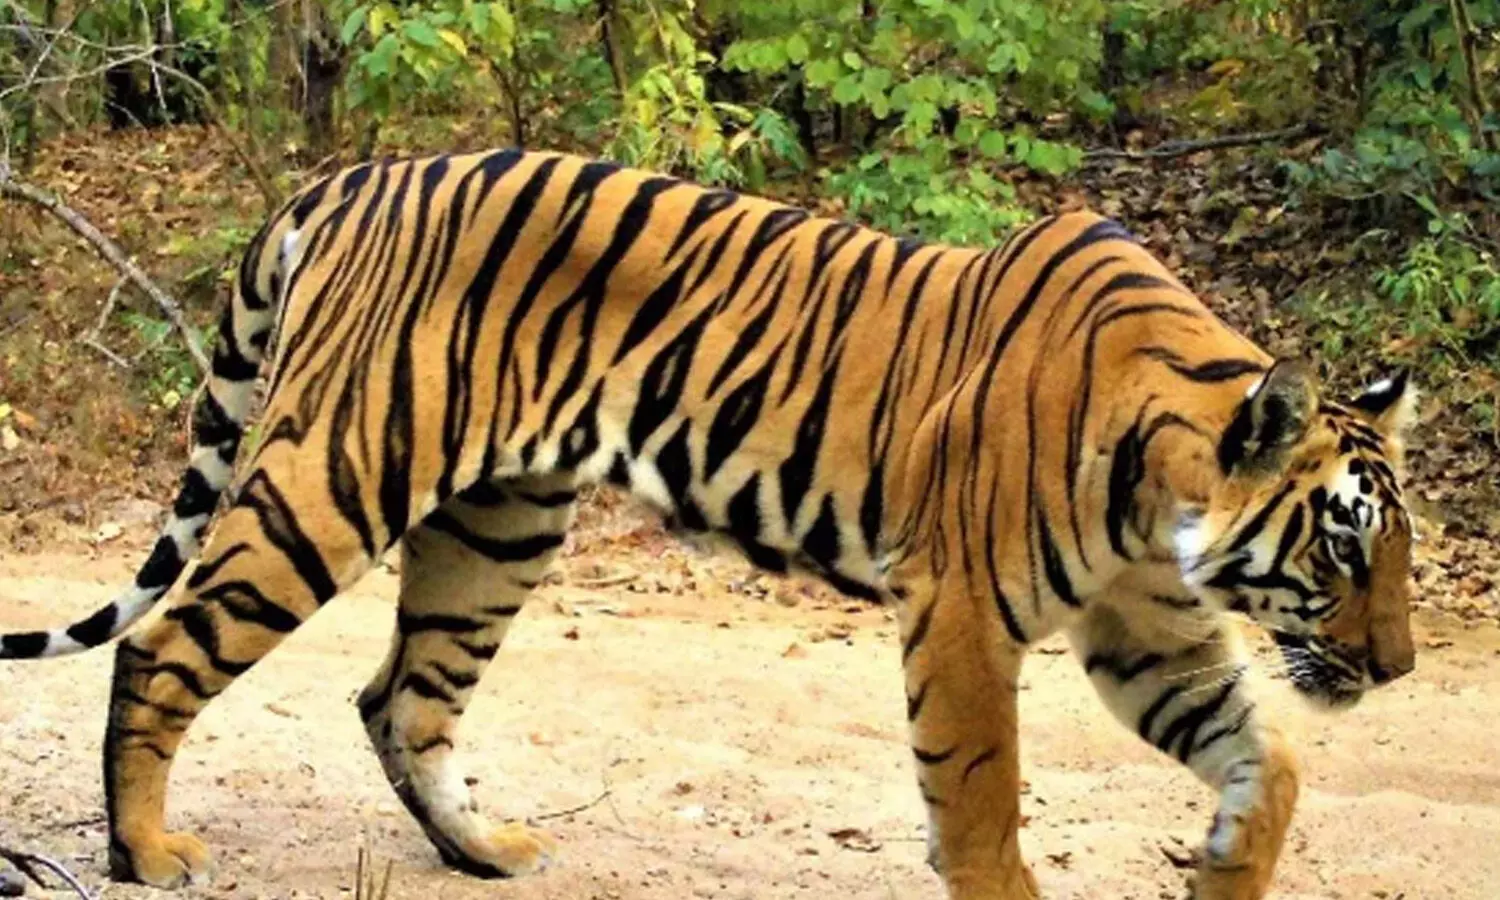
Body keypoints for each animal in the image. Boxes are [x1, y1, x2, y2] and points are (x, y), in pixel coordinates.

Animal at [1, 149, 1418, 899]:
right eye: (1342, 545)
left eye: (1400, 551)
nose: (1400, 669)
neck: (1163, 495)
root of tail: (352, 175)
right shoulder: (962, 613)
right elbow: (980, 799)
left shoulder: (1147, 631)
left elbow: (1270, 761)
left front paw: (1223, 865)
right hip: (334, 478)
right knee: (166, 642)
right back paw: (146, 850)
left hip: (501, 523)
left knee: (401, 696)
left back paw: (486, 851)